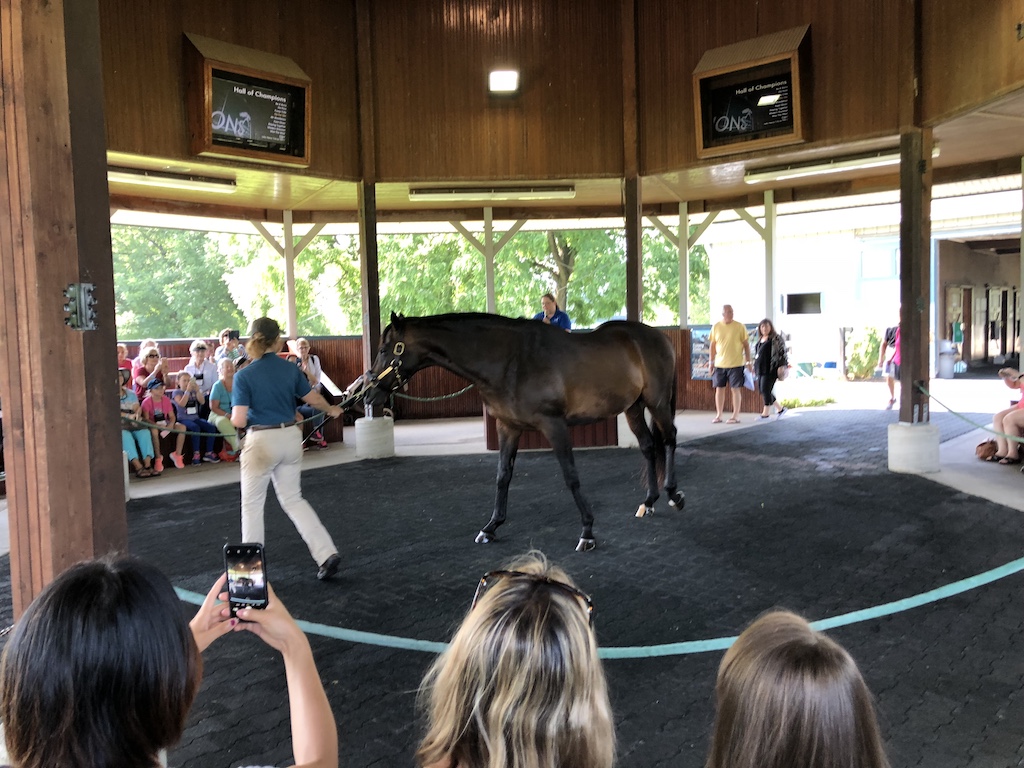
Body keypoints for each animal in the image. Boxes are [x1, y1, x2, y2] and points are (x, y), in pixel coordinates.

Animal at [362, 312, 684, 552]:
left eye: (384, 350)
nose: (368, 394)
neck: (510, 361)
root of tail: (659, 338)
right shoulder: (508, 427)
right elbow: (503, 475)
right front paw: (491, 527)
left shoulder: (554, 425)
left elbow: (571, 476)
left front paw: (587, 531)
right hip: (633, 408)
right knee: (647, 446)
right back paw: (649, 502)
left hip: (656, 403)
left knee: (669, 438)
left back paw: (673, 495)